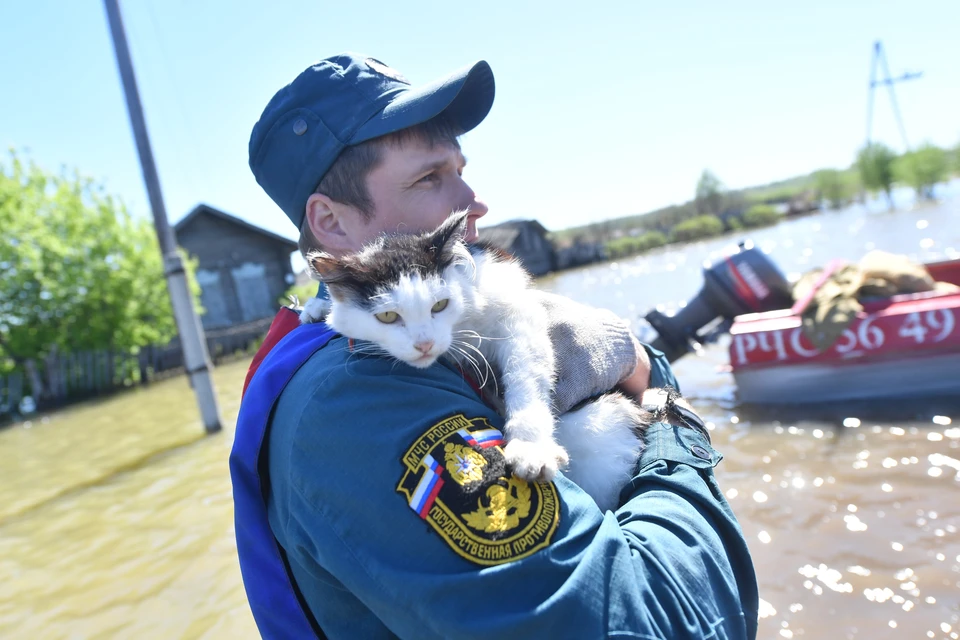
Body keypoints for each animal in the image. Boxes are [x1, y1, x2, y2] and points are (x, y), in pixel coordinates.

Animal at [300, 212, 648, 512]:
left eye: (440, 305)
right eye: (387, 316)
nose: (425, 344)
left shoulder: (517, 311)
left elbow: (525, 375)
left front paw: (531, 447)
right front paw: (316, 308)